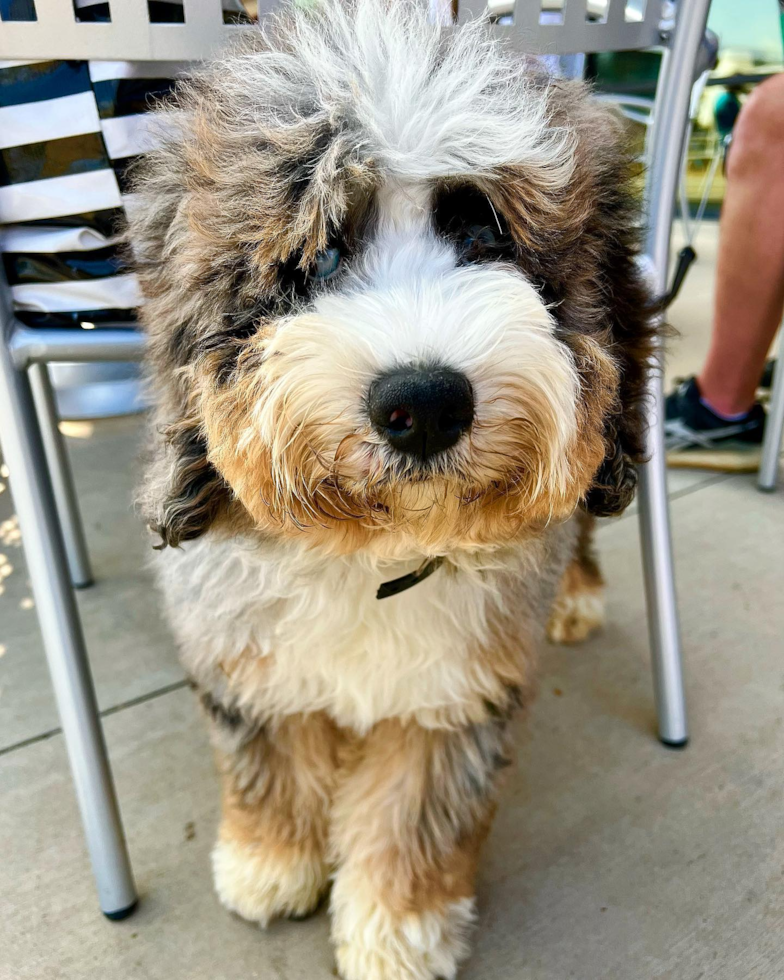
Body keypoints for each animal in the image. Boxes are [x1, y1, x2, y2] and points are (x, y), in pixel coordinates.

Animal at [129, 3, 656, 976]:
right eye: (322, 251)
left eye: (486, 235)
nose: (424, 403)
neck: (377, 550)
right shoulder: (242, 650)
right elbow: (270, 753)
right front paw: (271, 863)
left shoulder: (455, 691)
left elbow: (414, 812)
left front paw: (397, 928)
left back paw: (577, 595)